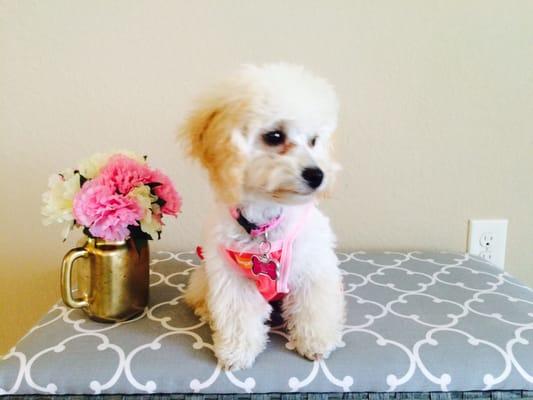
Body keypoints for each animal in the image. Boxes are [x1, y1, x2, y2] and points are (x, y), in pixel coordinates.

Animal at [179, 64, 344, 370]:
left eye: (313, 141)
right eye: (275, 136)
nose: (317, 175)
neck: (265, 222)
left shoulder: (314, 267)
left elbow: (314, 307)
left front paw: (316, 342)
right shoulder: (231, 278)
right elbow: (237, 315)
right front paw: (236, 352)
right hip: (204, 275)